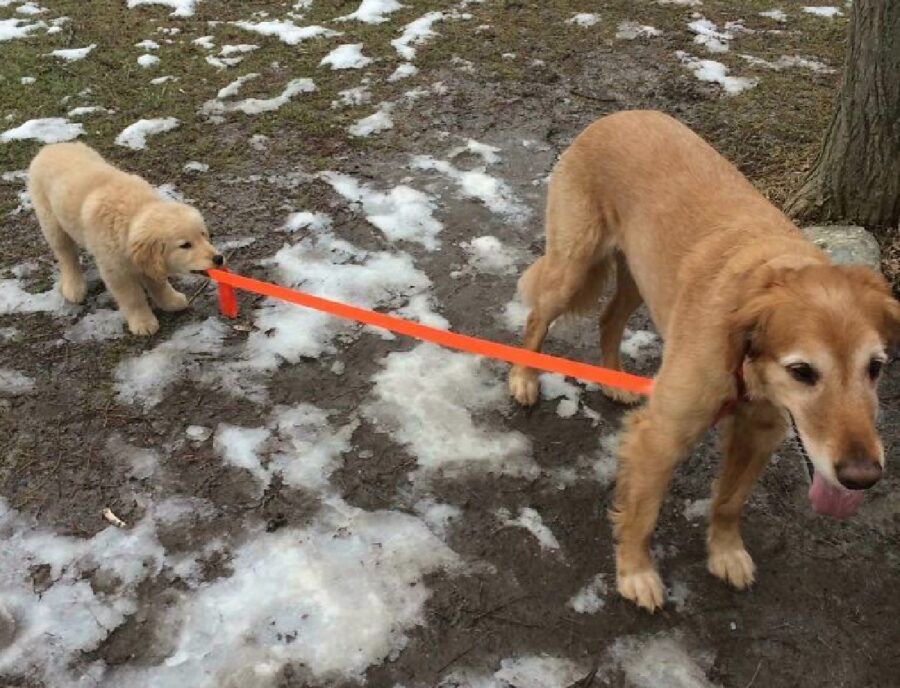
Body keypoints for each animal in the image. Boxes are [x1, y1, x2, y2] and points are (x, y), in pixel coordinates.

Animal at [27, 144, 224, 338]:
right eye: (185, 245)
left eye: (203, 235)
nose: (219, 258)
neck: (132, 213)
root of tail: (51, 146)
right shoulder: (115, 270)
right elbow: (132, 297)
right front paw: (143, 323)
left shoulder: (147, 263)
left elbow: (158, 284)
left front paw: (171, 301)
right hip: (50, 220)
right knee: (66, 255)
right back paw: (74, 287)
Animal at [510, 111, 896, 612]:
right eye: (803, 372)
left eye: (876, 367)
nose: (862, 477)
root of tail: (617, 115)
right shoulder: (660, 437)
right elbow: (642, 513)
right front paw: (635, 573)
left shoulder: (759, 433)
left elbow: (730, 502)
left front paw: (725, 552)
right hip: (573, 264)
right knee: (538, 316)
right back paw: (523, 378)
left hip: (639, 278)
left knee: (609, 320)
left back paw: (613, 379)